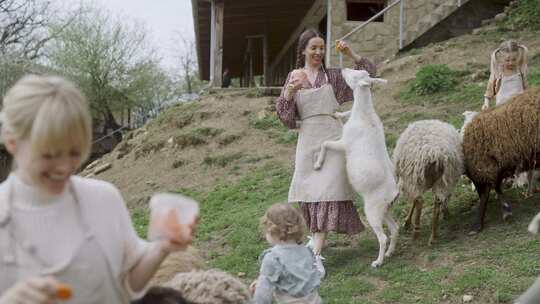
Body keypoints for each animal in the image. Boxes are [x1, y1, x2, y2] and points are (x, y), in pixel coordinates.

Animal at [460, 86, 540, 234]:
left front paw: (478, 224)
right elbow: (495, 187)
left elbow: (486, 193)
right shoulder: (491, 168)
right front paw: (506, 210)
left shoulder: (484, 169)